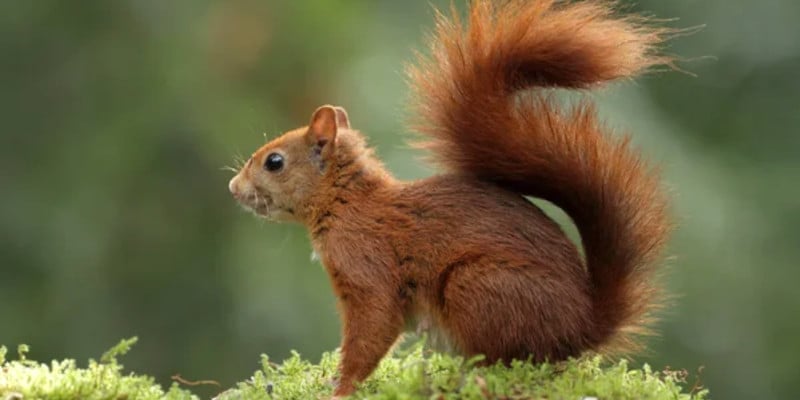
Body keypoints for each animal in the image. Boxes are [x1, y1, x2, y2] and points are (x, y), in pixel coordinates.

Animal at [230, 0, 676, 396]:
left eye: (274, 162)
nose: (233, 188)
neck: (348, 203)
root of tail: (583, 328)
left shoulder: (367, 267)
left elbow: (373, 329)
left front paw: (341, 387)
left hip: (478, 287)